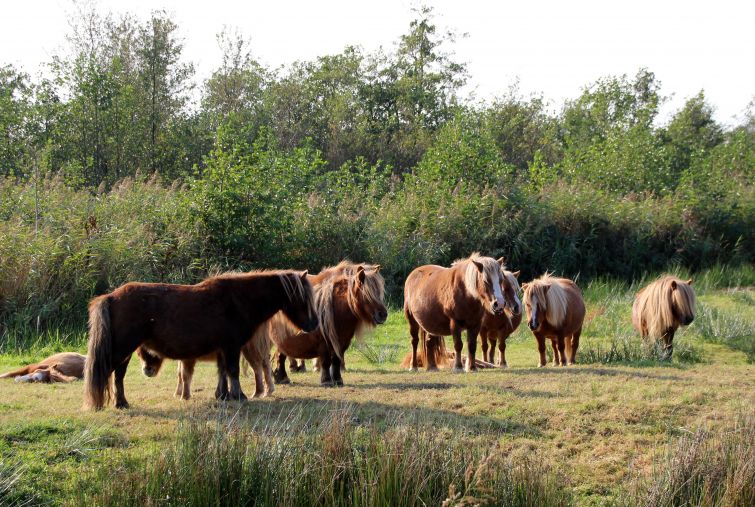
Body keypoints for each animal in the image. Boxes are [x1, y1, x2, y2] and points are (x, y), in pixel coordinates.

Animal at [83, 269, 317, 410]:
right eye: (303, 298)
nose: (314, 324)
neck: (238, 300)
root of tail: (111, 297)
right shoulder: (231, 347)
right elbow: (232, 371)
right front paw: (239, 395)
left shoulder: (223, 348)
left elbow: (223, 372)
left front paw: (223, 395)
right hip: (122, 349)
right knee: (110, 373)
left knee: (119, 375)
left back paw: (122, 403)